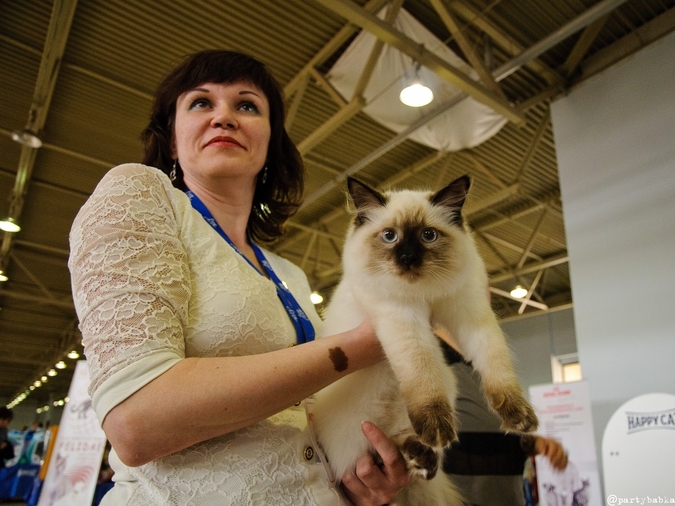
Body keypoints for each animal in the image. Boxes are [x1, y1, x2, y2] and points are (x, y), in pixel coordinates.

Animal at [312, 176, 540, 504]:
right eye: (389, 236)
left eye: (428, 236)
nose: (408, 258)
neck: (424, 295)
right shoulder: (403, 319)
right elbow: (422, 371)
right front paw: (438, 429)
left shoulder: (470, 314)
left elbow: (496, 365)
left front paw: (519, 417)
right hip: (359, 425)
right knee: (372, 452)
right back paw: (421, 450)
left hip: (439, 387)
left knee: (396, 446)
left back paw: (421, 457)